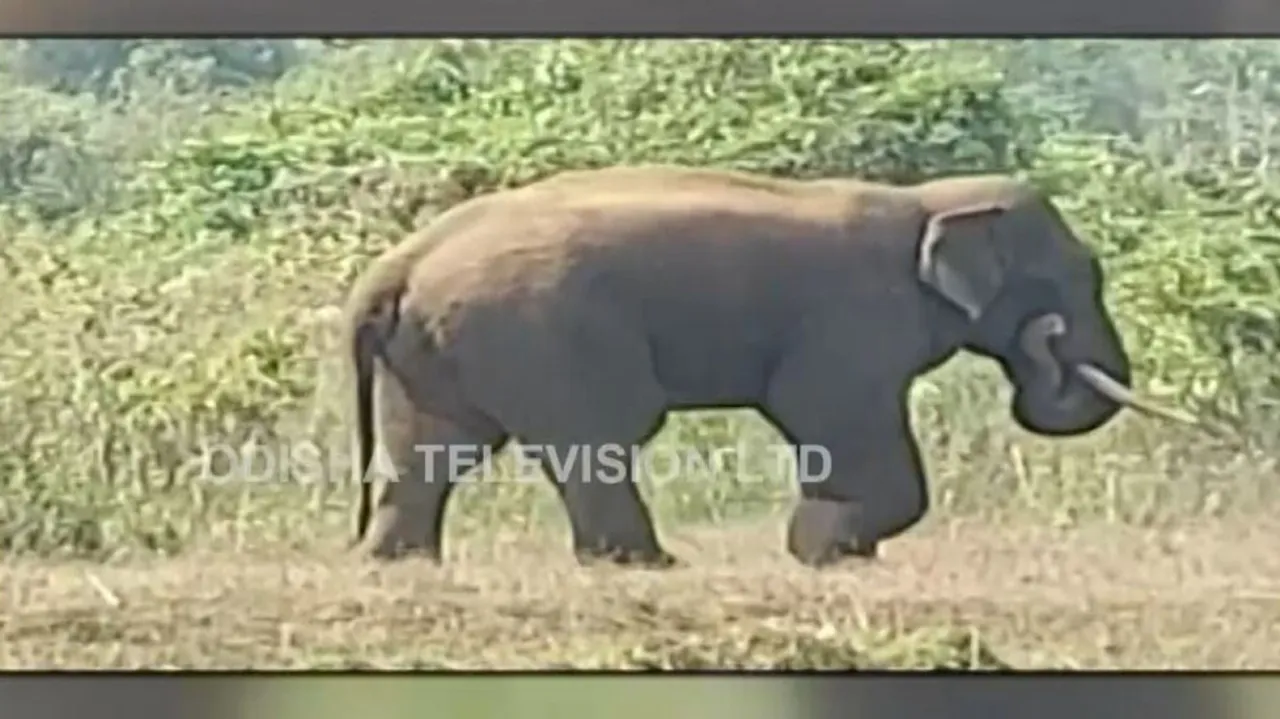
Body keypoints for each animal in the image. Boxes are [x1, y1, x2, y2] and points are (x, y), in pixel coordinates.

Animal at [340, 164, 1194, 568]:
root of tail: (398, 262)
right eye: (1073, 278)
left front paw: (834, 550)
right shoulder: (854, 321)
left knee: (432, 448)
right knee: (599, 437)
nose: (1049, 347)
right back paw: (650, 566)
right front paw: (825, 552)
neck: (925, 200)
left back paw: (399, 563)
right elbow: (835, 416)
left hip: (435, 345)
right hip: (542, 332)